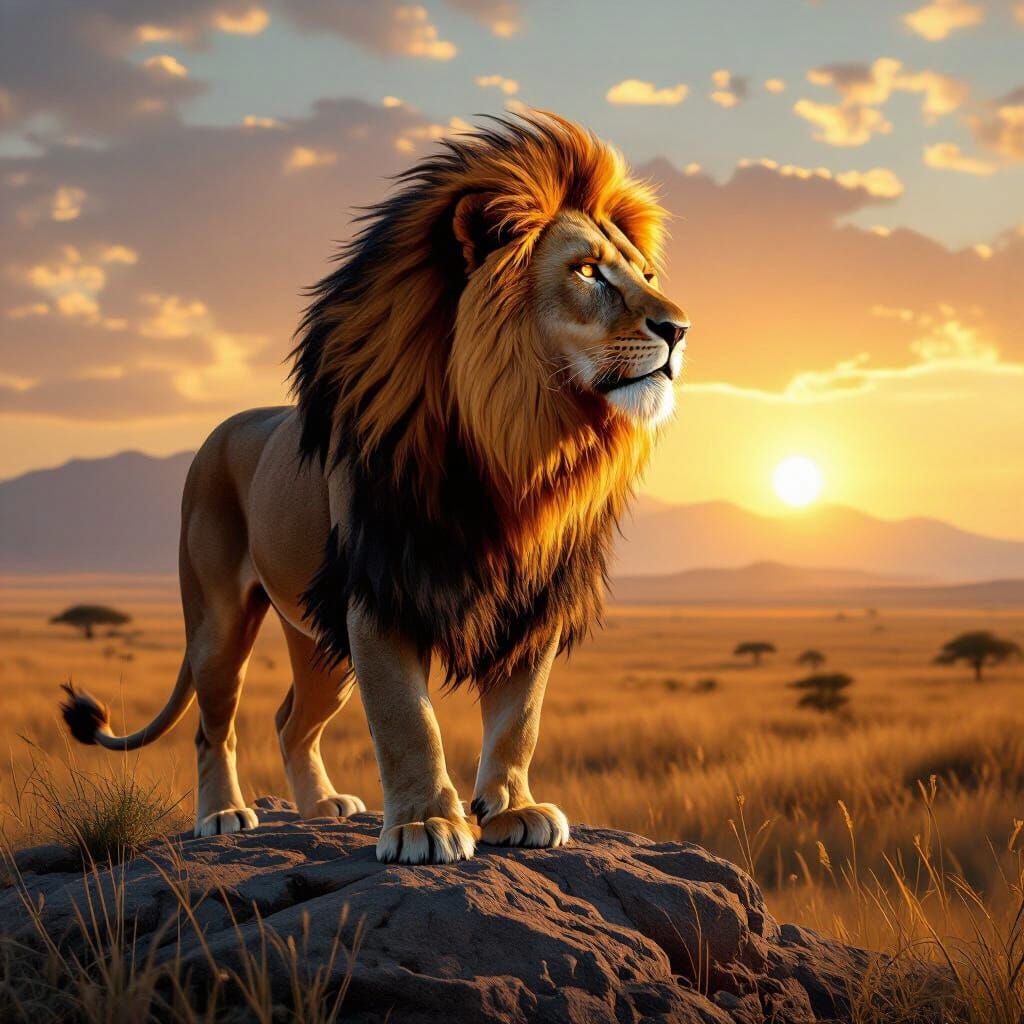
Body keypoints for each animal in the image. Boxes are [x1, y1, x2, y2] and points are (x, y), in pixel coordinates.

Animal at [60, 112, 690, 864]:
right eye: (588, 270)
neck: (517, 446)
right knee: (216, 726)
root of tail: (220, 431)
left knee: (291, 720)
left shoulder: (531, 604)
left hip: (318, 639)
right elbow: (407, 722)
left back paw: (322, 808)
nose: (679, 328)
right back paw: (222, 815)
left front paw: (513, 809)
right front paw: (424, 825)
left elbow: (520, 720)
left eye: (647, 274)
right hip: (218, 620)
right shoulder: (380, 593)